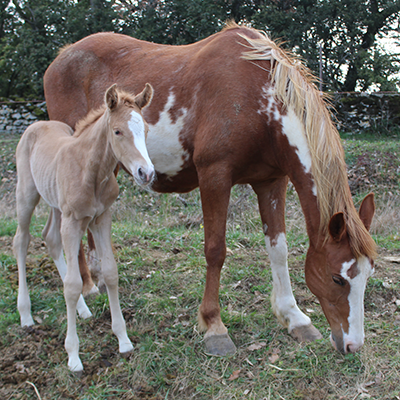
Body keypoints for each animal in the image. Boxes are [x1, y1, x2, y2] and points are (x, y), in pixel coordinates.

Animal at [13, 83, 154, 372]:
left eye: (145, 130)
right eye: (117, 131)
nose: (146, 173)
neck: (91, 171)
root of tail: (37, 124)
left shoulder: (102, 218)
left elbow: (110, 273)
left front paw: (123, 340)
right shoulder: (72, 221)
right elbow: (72, 284)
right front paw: (73, 356)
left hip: (56, 206)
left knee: (50, 239)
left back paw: (83, 310)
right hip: (27, 194)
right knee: (21, 241)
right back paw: (26, 315)